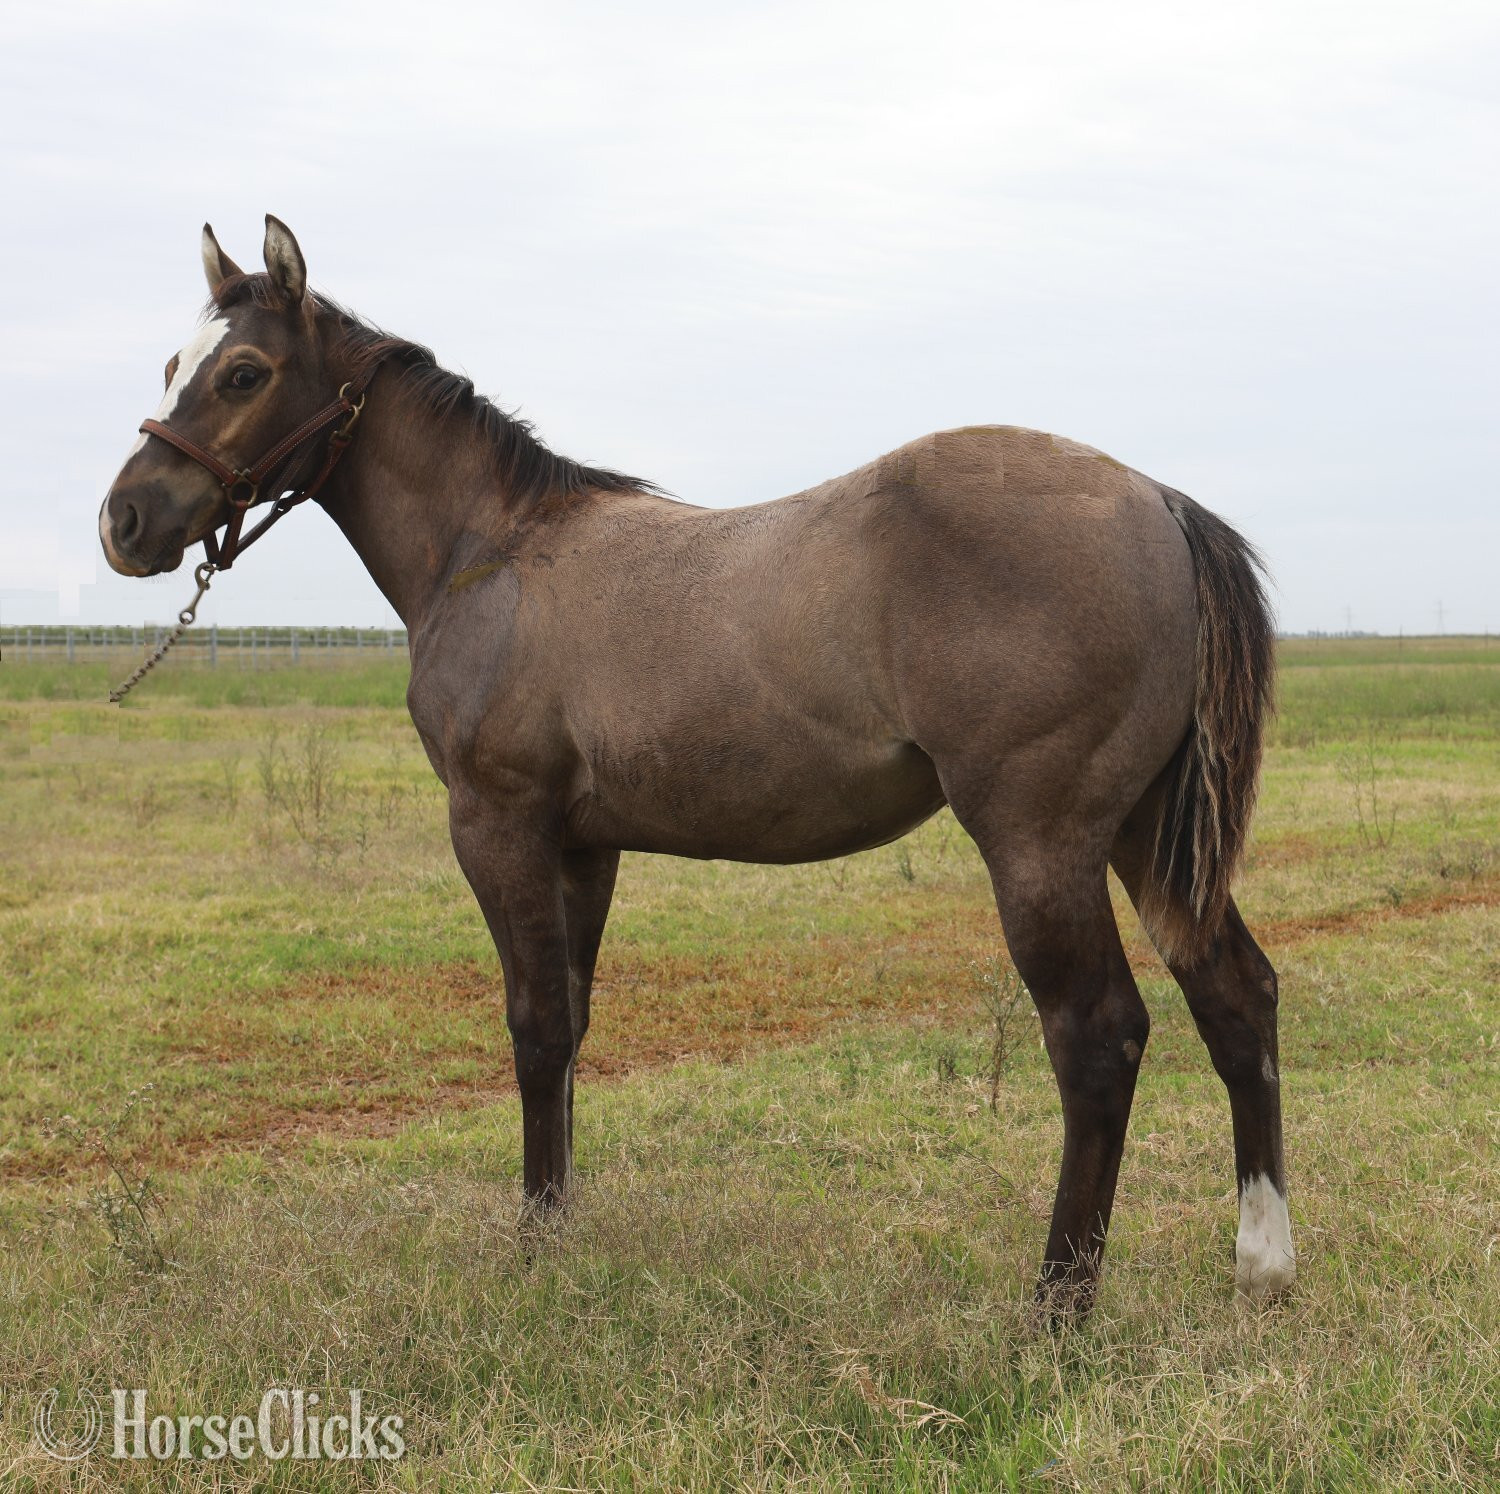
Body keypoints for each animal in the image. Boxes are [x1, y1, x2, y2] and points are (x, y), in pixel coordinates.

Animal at [99, 216, 1292, 1315]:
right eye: (170, 368)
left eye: (244, 373)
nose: (125, 520)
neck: (493, 549)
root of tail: (1158, 501)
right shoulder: (584, 847)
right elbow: (569, 1028)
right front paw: (558, 1224)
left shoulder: (497, 825)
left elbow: (533, 1027)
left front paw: (530, 1249)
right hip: (1143, 834)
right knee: (1236, 998)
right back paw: (1262, 1265)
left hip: (1042, 843)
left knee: (1098, 1040)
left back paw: (1057, 1306)